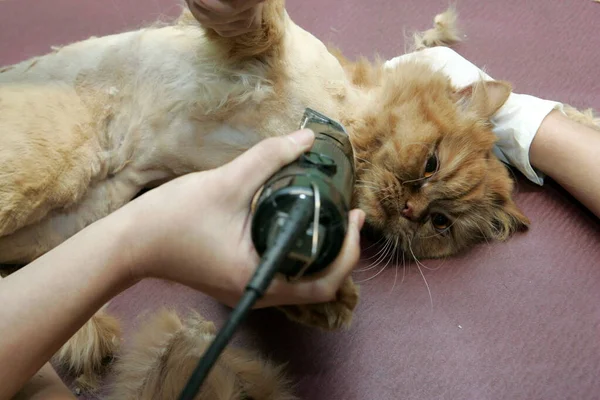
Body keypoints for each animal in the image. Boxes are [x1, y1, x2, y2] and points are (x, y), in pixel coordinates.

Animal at [0, 0, 564, 394]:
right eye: (430, 164)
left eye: (440, 224)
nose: (412, 210)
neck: (348, 123)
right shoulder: (266, 49)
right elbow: (259, 25)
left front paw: (323, 301)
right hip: (51, 167)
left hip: (77, 208)